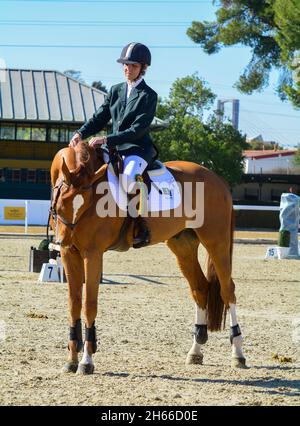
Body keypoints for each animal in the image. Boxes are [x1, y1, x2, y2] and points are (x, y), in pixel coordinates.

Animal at [49, 141, 246, 374]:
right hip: (183, 246)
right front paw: (70, 360)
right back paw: (195, 351)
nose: (62, 240)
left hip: (216, 243)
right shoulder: (70, 254)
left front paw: (86, 361)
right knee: (200, 289)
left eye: (84, 203)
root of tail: (218, 180)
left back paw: (238, 353)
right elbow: (73, 304)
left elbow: (89, 304)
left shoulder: (92, 254)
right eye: (61, 201)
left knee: (227, 290)